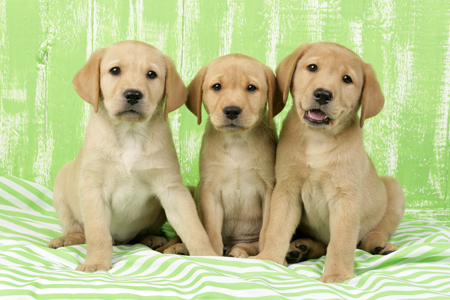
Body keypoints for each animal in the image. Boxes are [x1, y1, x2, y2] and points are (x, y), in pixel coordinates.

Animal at [48, 40, 216, 272]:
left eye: (151, 74)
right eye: (115, 70)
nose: (133, 95)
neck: (130, 134)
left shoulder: (172, 189)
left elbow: (194, 228)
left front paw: (209, 256)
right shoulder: (93, 189)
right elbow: (97, 233)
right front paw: (96, 262)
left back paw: (151, 238)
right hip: (63, 182)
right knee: (78, 230)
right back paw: (67, 238)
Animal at [255, 42, 406, 284]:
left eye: (347, 79)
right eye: (312, 67)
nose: (323, 95)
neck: (318, 140)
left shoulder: (346, 197)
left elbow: (341, 242)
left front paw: (337, 275)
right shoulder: (286, 189)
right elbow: (276, 229)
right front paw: (268, 260)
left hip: (393, 189)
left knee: (371, 234)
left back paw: (381, 246)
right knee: (322, 245)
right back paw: (301, 249)